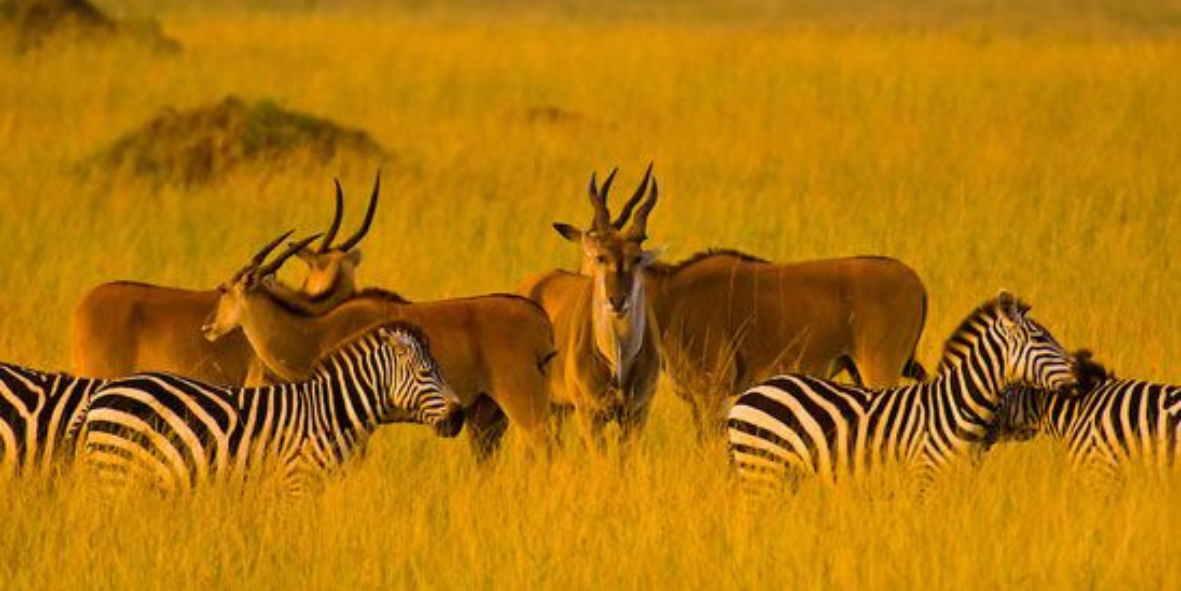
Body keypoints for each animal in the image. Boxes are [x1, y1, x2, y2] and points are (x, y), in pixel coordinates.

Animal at [81, 321, 464, 496]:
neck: (332, 413)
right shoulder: (299, 481)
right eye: (425, 373)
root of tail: (102, 394)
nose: (460, 416)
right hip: (118, 470)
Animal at [200, 243, 556, 462]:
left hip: (524, 406)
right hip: (488, 417)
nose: (207, 327)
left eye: (224, 290)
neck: (316, 331)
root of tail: (537, 316)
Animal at [518, 165, 663, 453]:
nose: (617, 301)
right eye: (600, 257)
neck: (617, 363)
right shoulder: (589, 415)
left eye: (637, 258)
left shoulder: (636, 414)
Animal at [726, 291, 1078, 500]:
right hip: (761, 465)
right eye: (1040, 338)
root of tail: (746, 396)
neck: (957, 406)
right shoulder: (924, 474)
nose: (1081, 375)